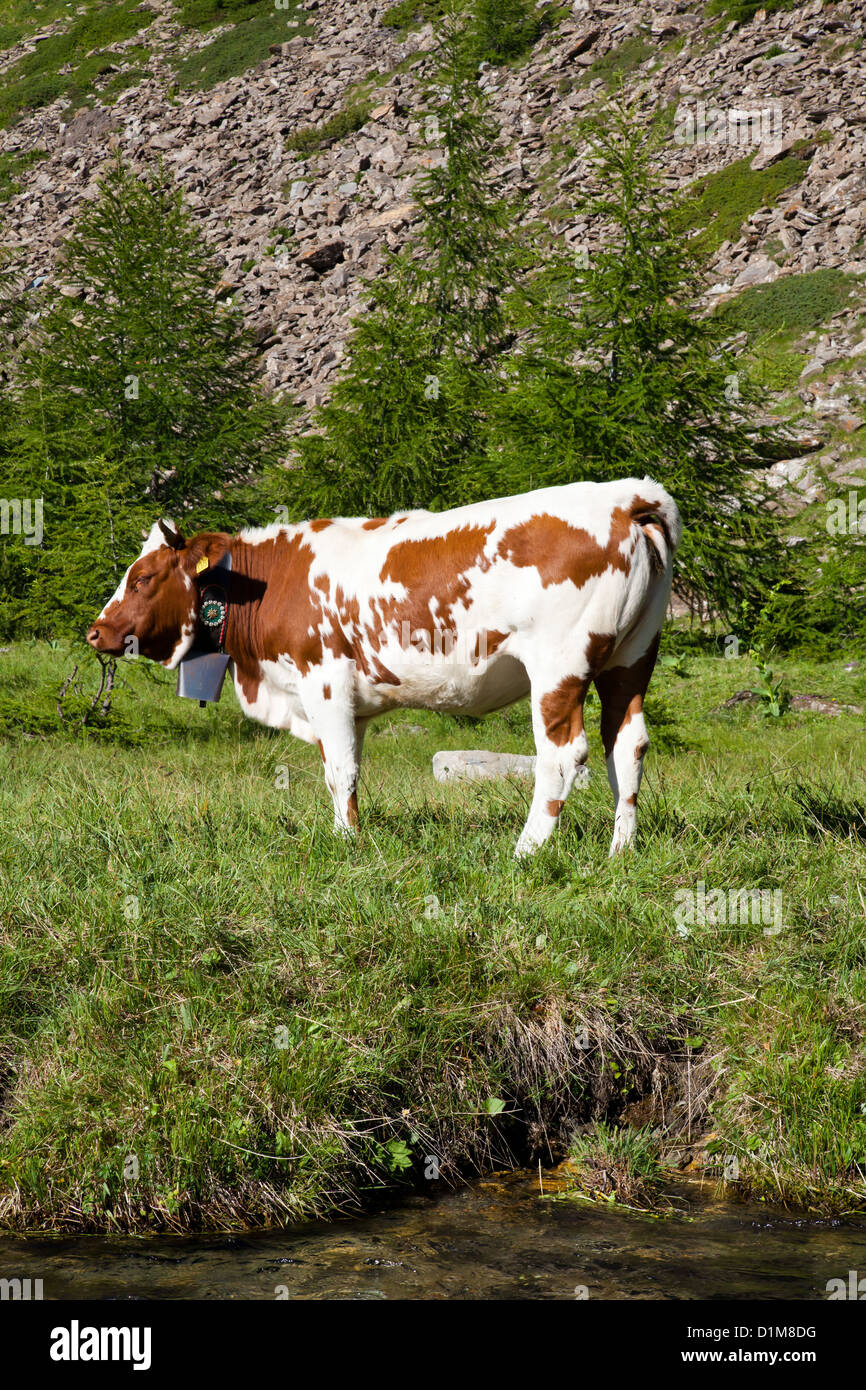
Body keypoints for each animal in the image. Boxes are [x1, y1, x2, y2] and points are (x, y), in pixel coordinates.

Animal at [87, 478, 681, 857]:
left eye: (142, 578)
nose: (96, 631)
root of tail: (621, 497)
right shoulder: (346, 701)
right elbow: (344, 769)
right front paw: (347, 832)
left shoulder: (324, 680)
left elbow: (339, 770)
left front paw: (347, 844)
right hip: (632, 657)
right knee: (626, 745)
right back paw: (620, 851)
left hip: (559, 666)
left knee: (562, 754)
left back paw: (526, 850)